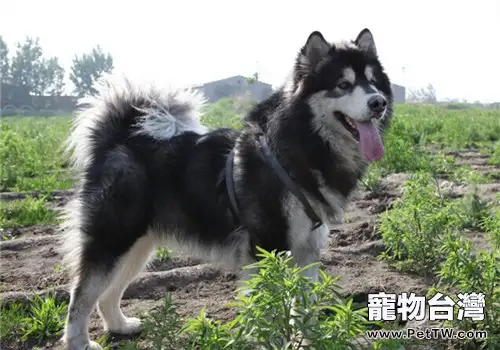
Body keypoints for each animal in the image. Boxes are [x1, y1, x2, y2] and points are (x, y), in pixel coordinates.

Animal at [60, 28, 392, 348]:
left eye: (373, 83)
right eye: (343, 85)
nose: (379, 102)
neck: (299, 146)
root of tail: (118, 140)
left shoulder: (306, 248)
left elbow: (305, 304)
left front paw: (314, 339)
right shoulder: (266, 247)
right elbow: (270, 304)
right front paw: (274, 341)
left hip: (139, 245)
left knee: (109, 292)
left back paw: (119, 325)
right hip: (113, 239)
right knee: (81, 295)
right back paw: (79, 342)